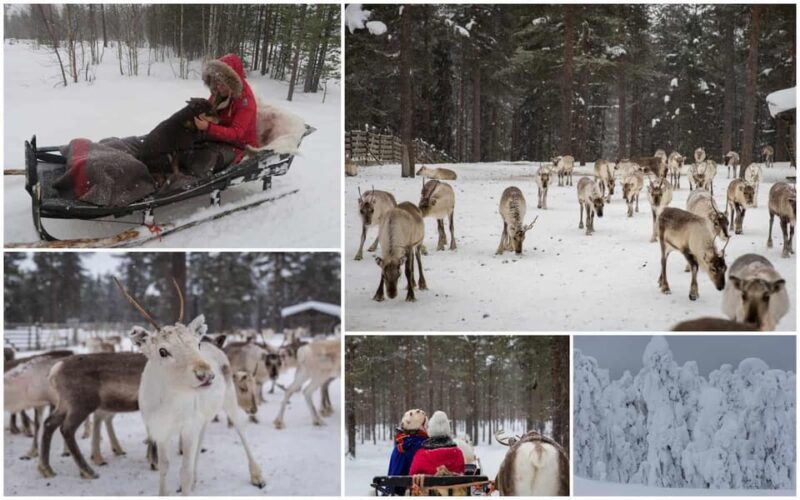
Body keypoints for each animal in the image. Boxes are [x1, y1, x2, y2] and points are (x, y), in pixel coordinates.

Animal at [115, 278, 266, 495]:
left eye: (197, 344)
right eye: (162, 351)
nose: (206, 374)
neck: (169, 406)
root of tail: (216, 345)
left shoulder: (189, 426)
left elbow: (184, 472)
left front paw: (186, 483)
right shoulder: (161, 430)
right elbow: (164, 466)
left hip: (229, 397)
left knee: (240, 426)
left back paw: (257, 476)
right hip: (203, 415)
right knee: (202, 438)